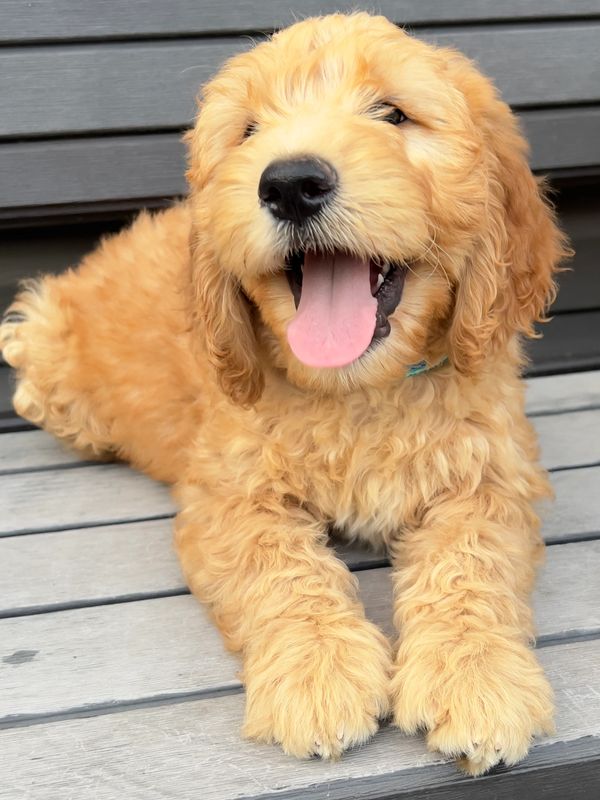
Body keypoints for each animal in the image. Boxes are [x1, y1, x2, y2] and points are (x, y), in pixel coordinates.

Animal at [2, 10, 568, 776]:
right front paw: (317, 672)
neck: (360, 392)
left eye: (393, 113)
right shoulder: (225, 494)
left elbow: (471, 562)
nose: (292, 182)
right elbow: (278, 564)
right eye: (248, 131)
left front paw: (476, 674)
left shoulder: (492, 476)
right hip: (42, 344)